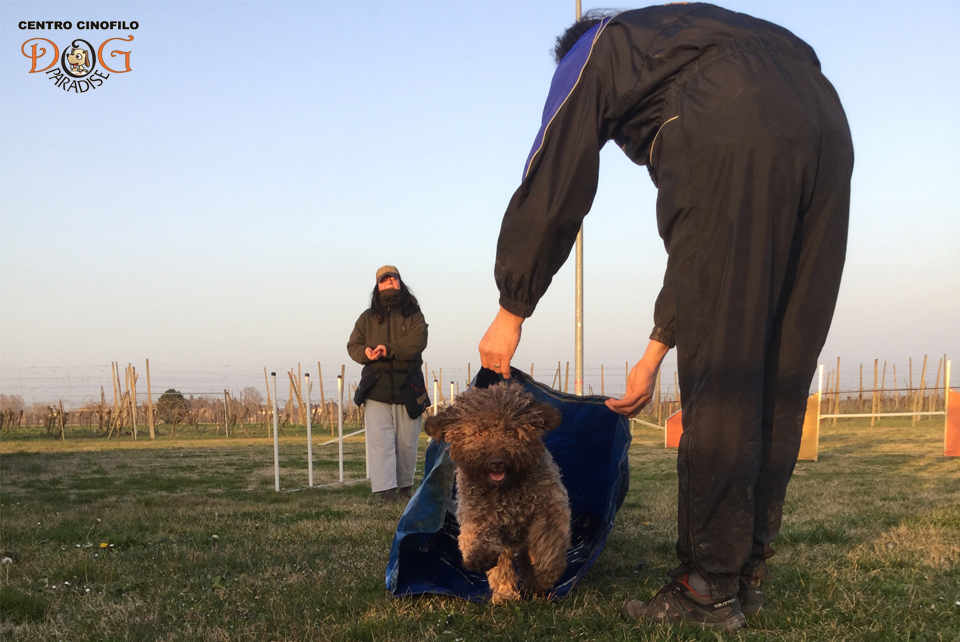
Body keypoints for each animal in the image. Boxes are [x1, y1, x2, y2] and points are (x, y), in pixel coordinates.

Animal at [422, 382, 568, 604]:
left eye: (511, 431)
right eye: (480, 433)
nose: (496, 462)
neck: (506, 489)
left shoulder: (549, 507)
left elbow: (548, 541)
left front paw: (545, 574)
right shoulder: (476, 512)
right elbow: (481, 539)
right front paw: (480, 558)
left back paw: (533, 584)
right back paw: (506, 592)